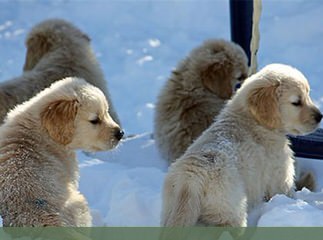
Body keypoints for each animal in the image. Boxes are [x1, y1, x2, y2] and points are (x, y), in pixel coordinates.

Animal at [162, 63, 323, 227]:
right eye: (296, 102)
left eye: (308, 94)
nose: (319, 117)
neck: (253, 119)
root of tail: (190, 181)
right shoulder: (280, 175)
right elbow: (286, 193)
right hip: (230, 210)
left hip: (173, 209)